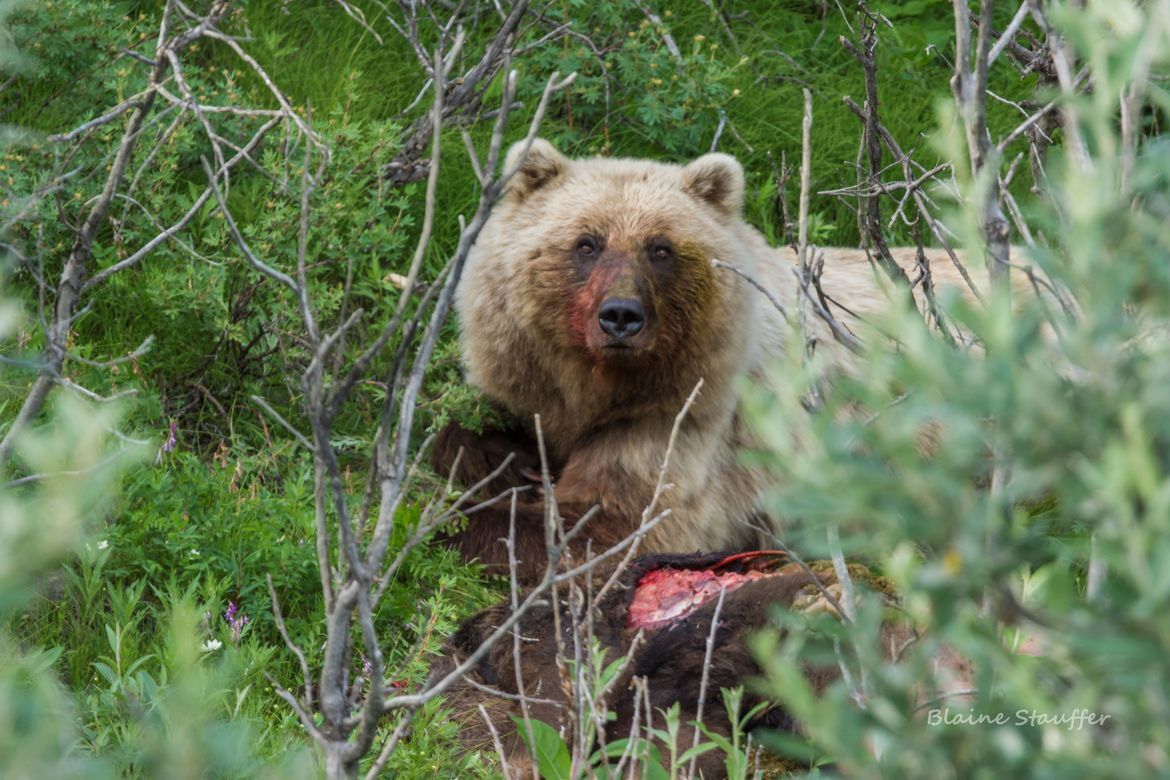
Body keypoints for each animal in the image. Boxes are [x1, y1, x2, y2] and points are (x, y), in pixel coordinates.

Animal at [432, 139, 1000, 579]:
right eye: (586, 243)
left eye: (660, 248)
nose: (621, 316)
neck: (600, 385)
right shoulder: (525, 375)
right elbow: (467, 430)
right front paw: (489, 462)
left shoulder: (682, 423)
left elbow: (617, 522)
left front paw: (459, 517)